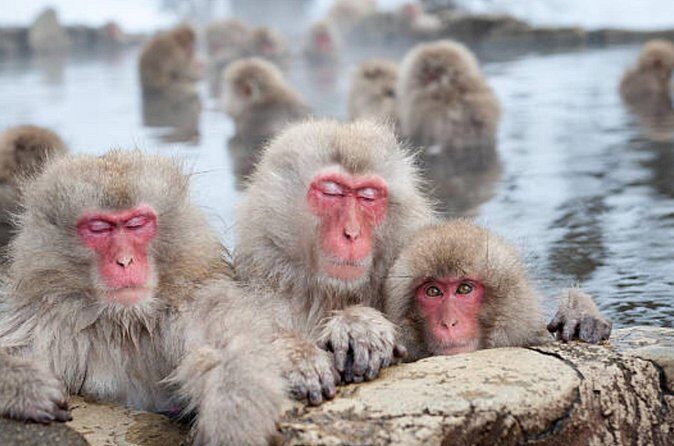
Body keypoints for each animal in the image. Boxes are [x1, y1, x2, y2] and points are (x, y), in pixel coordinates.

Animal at [0, 150, 286, 445]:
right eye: (99, 228)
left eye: (136, 224)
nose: (125, 261)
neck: (125, 322)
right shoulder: (44, 319)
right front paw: (25, 386)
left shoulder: (196, 303)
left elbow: (230, 348)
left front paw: (231, 421)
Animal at [235, 119, 436, 405]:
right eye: (332, 192)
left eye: (368, 196)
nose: (351, 233)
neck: (327, 293)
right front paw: (297, 356)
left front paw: (359, 325)